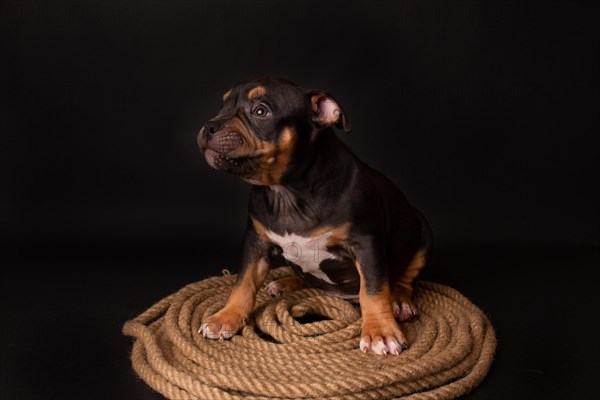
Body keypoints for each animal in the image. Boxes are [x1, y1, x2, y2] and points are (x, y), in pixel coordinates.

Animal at [197, 76, 432, 354]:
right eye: (223, 105)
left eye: (260, 111)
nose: (209, 126)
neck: (287, 192)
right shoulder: (256, 241)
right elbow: (244, 282)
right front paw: (227, 317)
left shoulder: (365, 243)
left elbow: (373, 289)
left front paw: (380, 332)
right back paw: (285, 284)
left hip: (422, 234)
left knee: (404, 278)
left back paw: (399, 300)